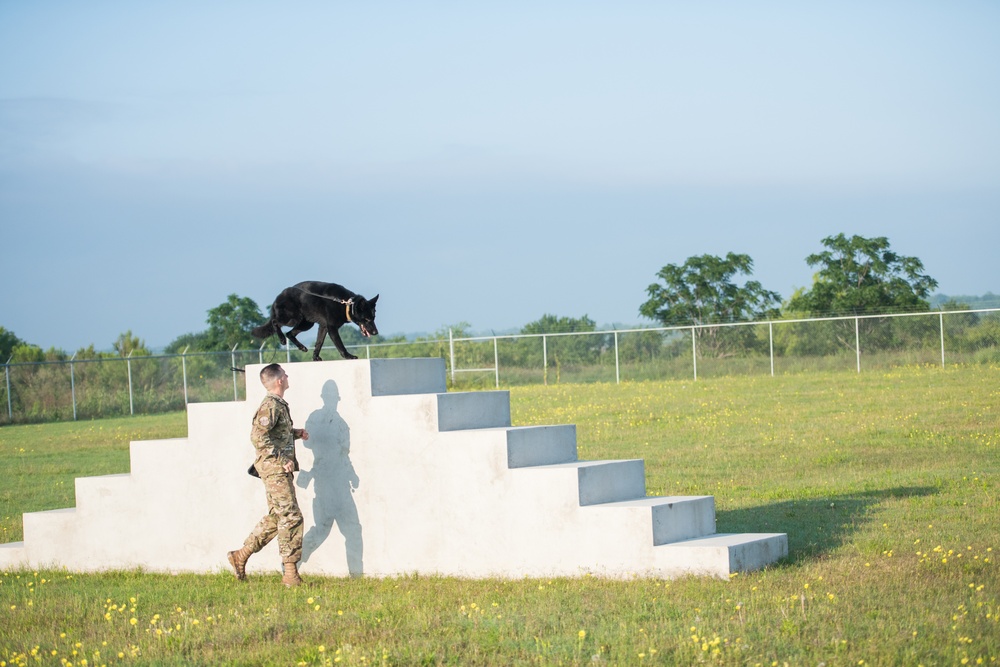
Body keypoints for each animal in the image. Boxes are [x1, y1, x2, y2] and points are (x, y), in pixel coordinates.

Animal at [252, 284, 380, 362]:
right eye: (367, 319)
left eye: (373, 318)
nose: (375, 332)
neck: (346, 304)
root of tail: (278, 297)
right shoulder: (331, 328)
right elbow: (340, 345)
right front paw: (348, 356)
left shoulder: (323, 327)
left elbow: (319, 343)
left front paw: (315, 357)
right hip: (292, 318)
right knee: (275, 322)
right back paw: (282, 339)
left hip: (306, 324)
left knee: (290, 333)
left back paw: (302, 347)